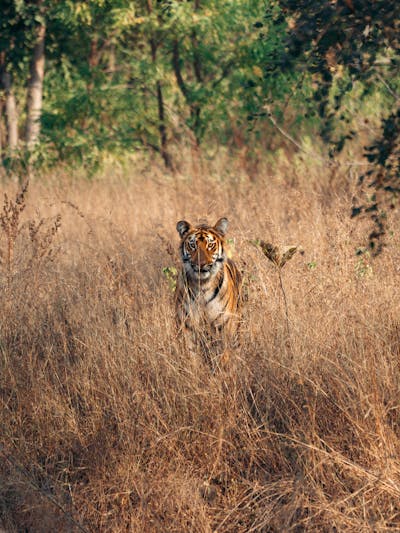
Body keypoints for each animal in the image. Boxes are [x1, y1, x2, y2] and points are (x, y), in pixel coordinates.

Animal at [174, 216, 241, 366]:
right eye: (192, 245)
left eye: (210, 245)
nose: (201, 265)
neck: (203, 286)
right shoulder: (188, 325)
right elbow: (191, 355)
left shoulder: (223, 324)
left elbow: (223, 355)